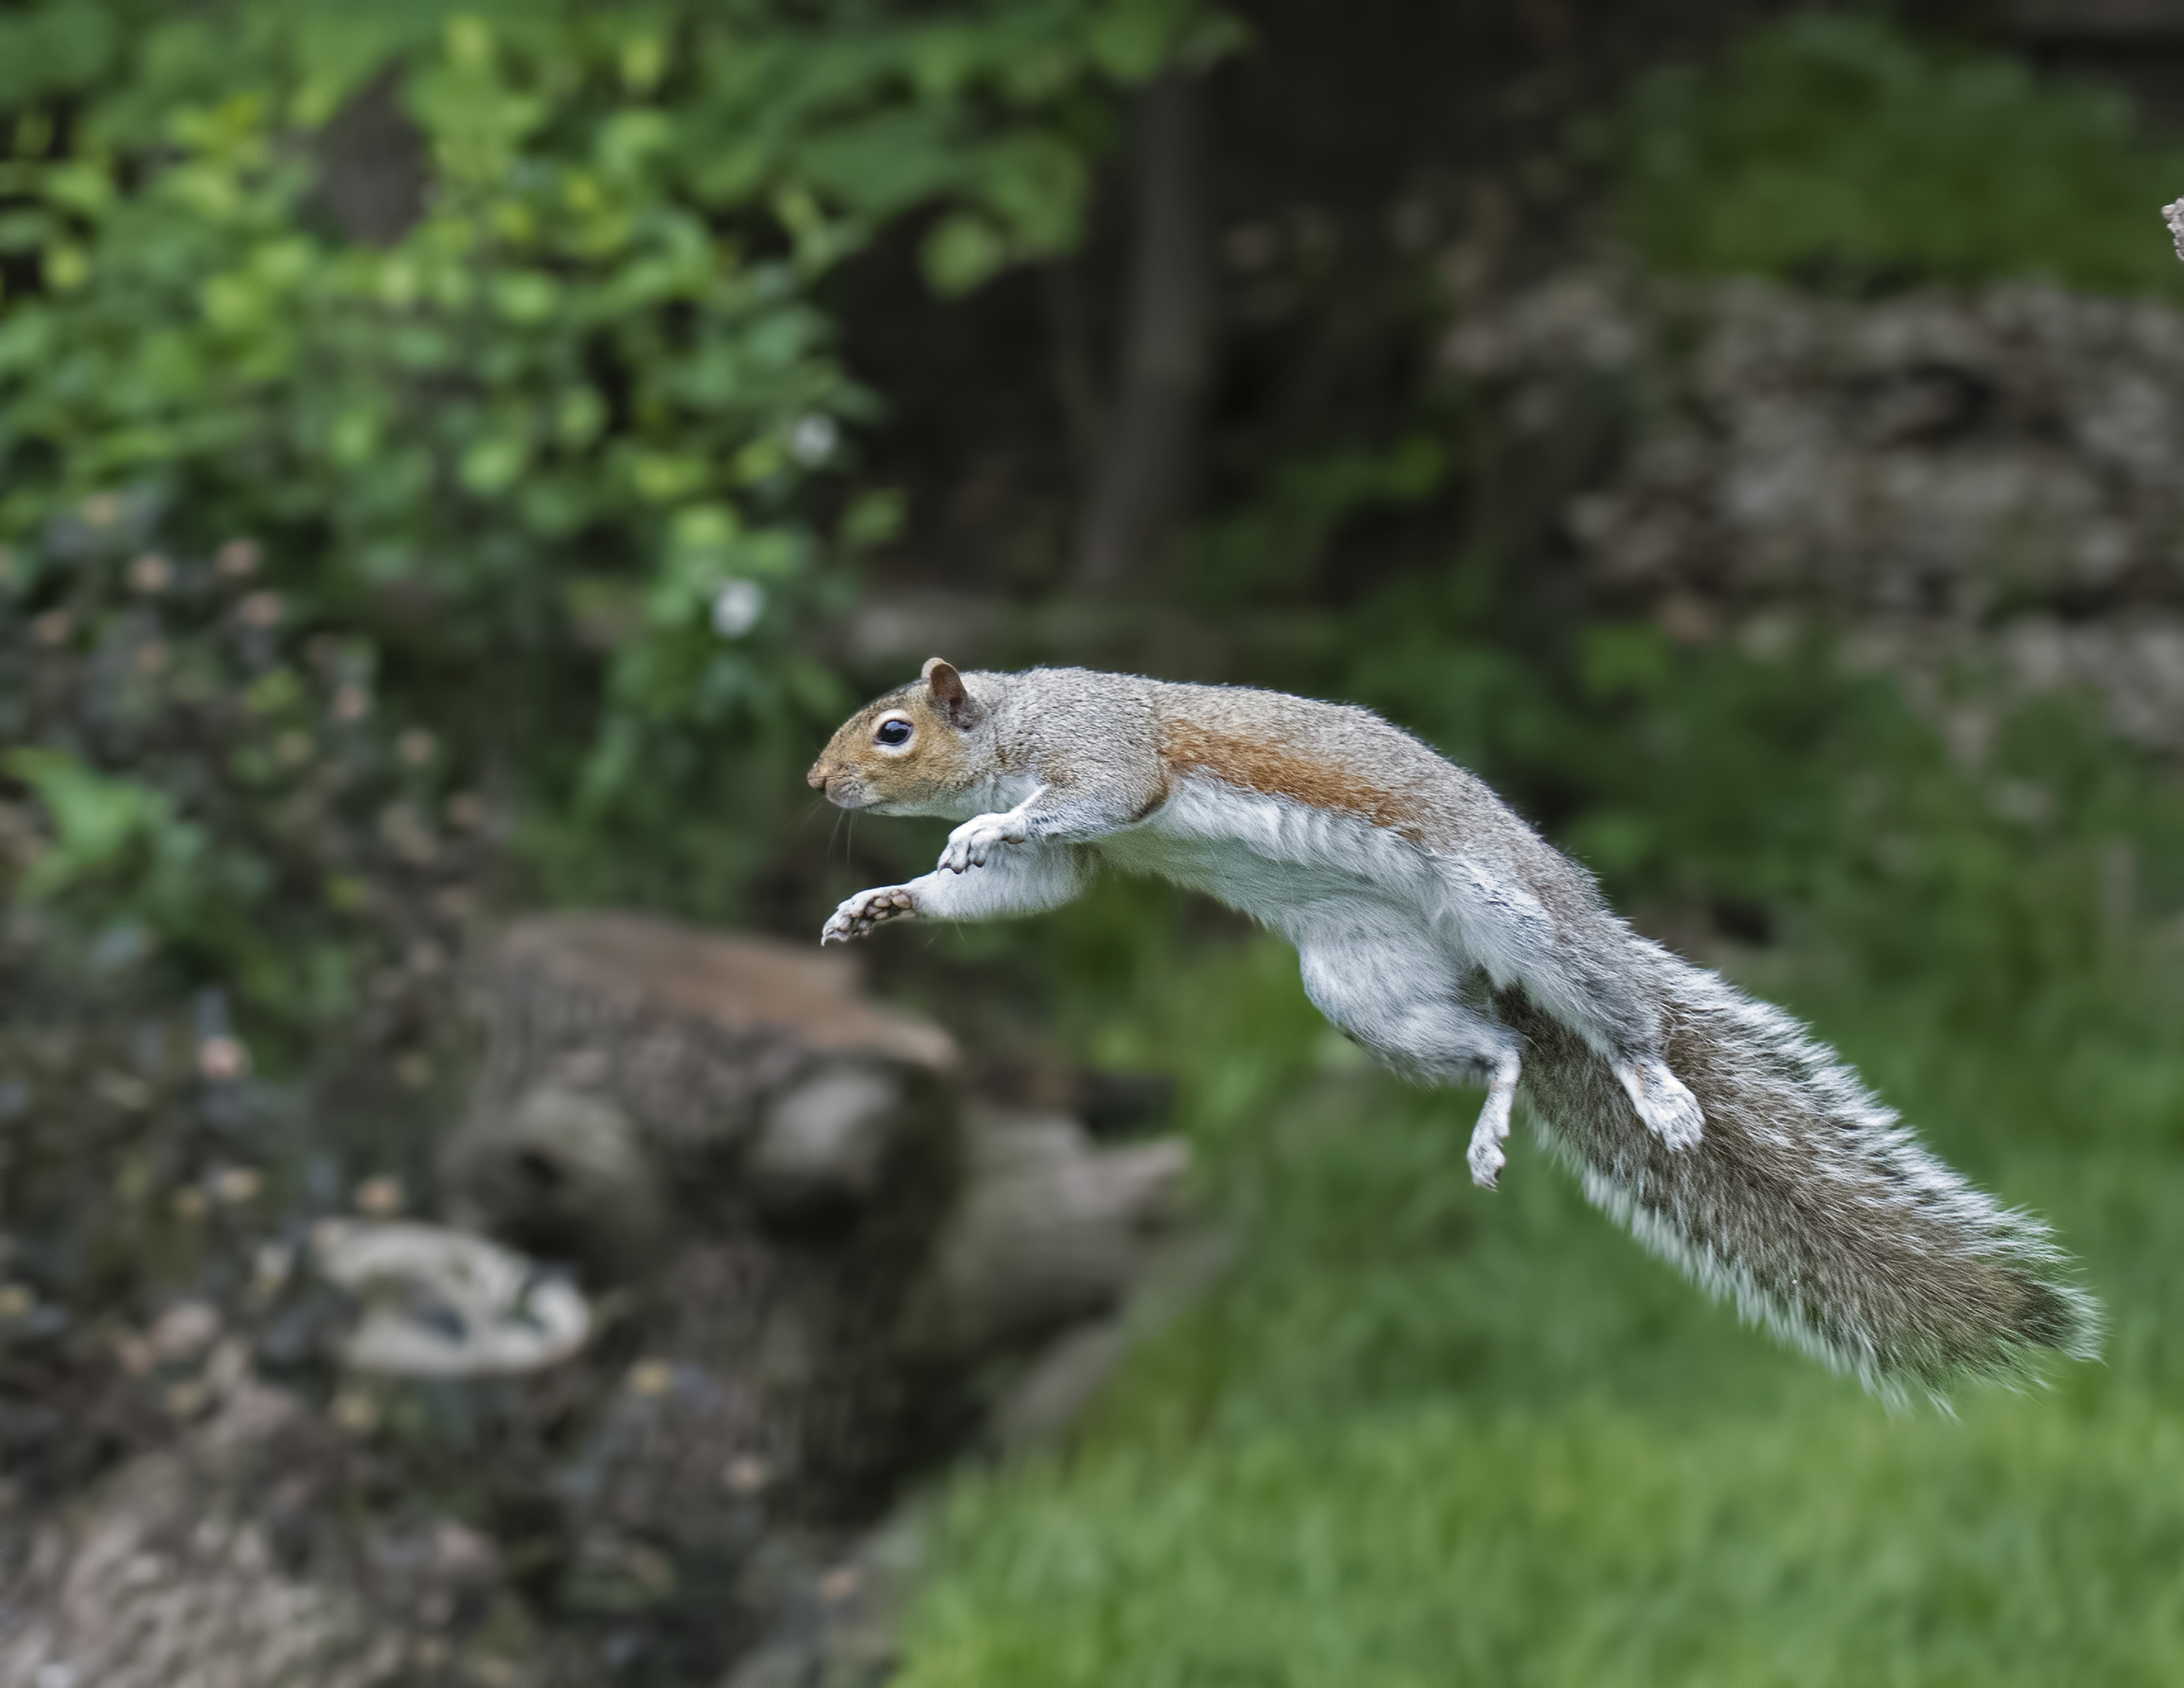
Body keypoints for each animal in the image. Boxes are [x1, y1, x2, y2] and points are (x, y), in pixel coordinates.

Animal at [808, 659, 2098, 1399]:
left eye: (891, 731)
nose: (819, 786)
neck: (1017, 718)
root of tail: (1487, 954)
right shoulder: (1077, 856)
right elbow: (1037, 887)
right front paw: (884, 901)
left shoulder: (1107, 752)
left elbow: (1085, 804)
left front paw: (977, 832)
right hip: (1365, 989)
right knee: (1506, 1047)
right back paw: (1490, 1117)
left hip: (1512, 909)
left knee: (1605, 1016)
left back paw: (1654, 1083)